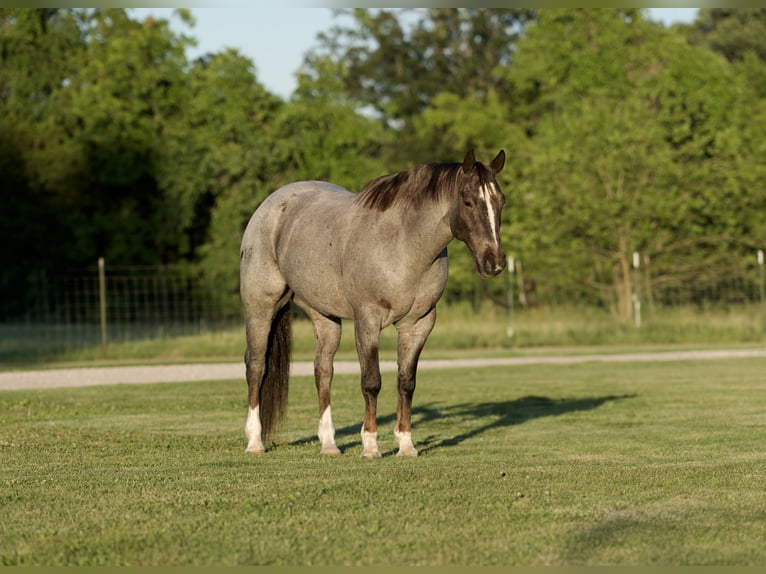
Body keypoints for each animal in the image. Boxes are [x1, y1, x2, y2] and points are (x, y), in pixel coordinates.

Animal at [237, 151, 508, 462]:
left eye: (501, 200)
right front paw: (370, 446)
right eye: (468, 200)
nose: (494, 262)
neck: (403, 244)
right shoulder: (367, 320)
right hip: (260, 308)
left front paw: (406, 445)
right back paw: (255, 441)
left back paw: (329, 444)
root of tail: (270, 206)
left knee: (323, 371)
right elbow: (372, 381)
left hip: (325, 317)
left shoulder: (419, 324)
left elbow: (406, 381)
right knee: (257, 366)